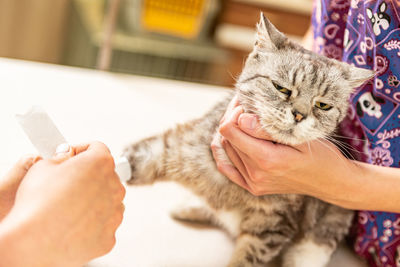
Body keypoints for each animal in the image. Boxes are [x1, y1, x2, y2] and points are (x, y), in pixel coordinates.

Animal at [122, 14, 376, 267]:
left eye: (322, 105)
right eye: (282, 89)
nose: (299, 115)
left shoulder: (271, 228)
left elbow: (246, 259)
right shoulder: (176, 146)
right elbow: (134, 160)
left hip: (328, 225)